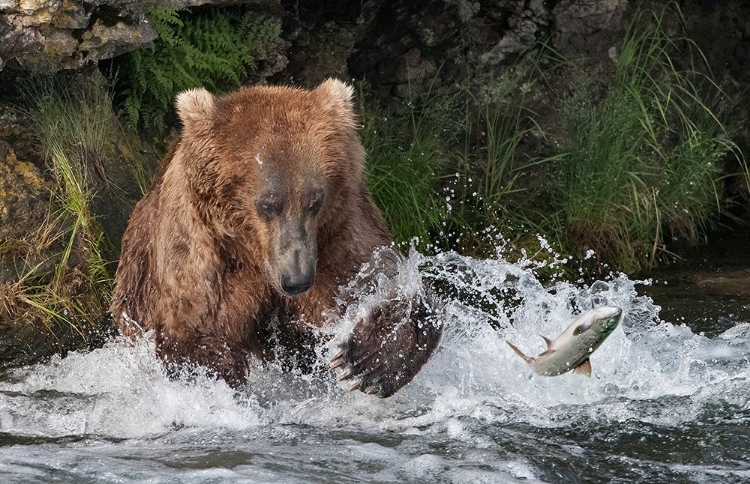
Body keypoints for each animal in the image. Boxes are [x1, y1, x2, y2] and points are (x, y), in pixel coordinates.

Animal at [108, 79, 444, 398]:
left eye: (314, 201)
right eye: (267, 204)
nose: (296, 279)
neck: (253, 255)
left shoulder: (338, 236)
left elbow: (382, 283)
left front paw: (363, 361)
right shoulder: (201, 260)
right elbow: (190, 333)